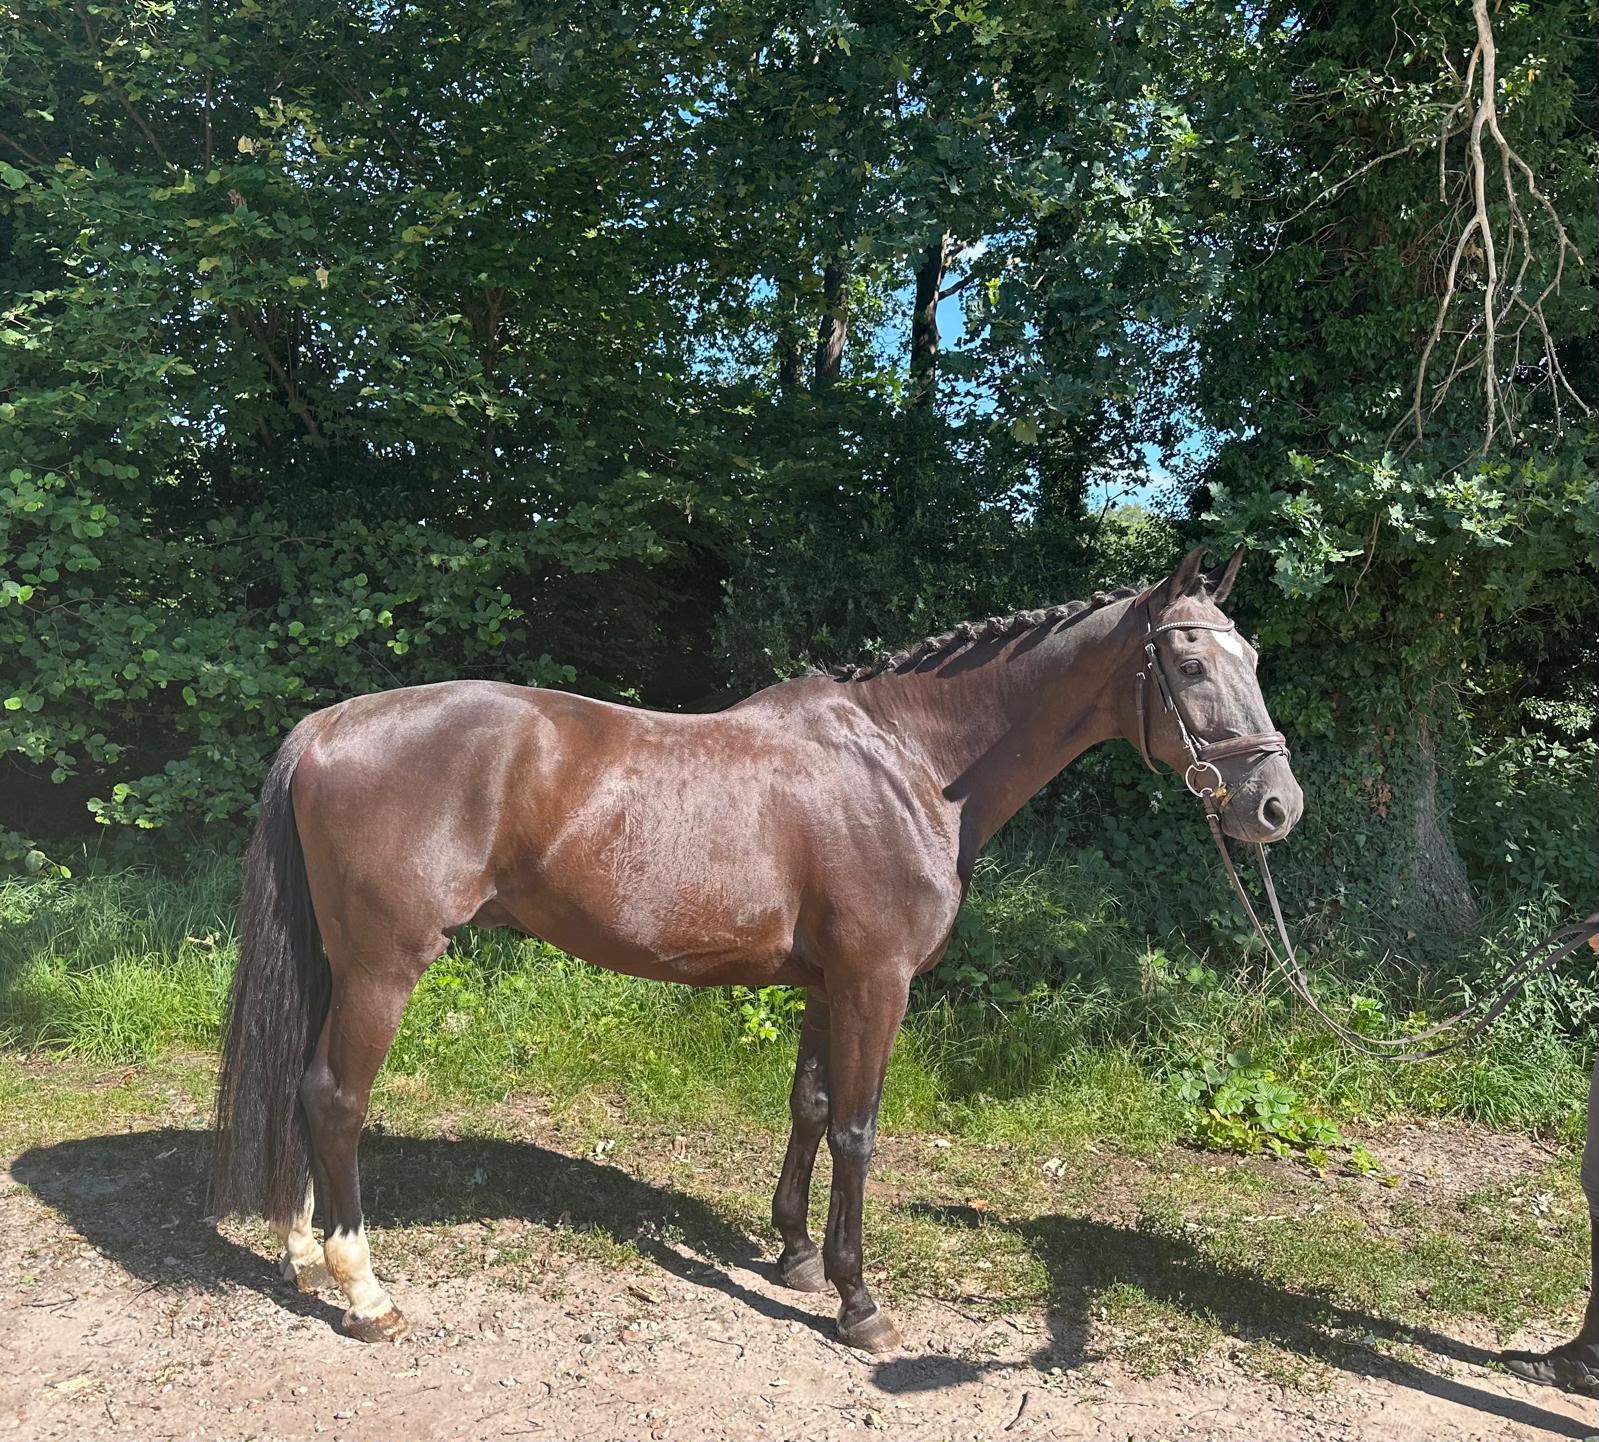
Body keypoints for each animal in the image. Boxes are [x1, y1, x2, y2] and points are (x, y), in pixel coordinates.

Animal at [210, 543, 1303, 1351]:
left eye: (1255, 661)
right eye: (1191, 664)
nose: (1275, 805)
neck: (907, 766)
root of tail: (330, 724)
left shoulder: (826, 982)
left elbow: (810, 1106)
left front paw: (796, 1257)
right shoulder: (877, 983)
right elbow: (858, 1129)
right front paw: (859, 1303)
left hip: (338, 967)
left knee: (305, 1092)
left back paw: (304, 1254)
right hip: (382, 969)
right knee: (335, 1099)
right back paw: (364, 1291)